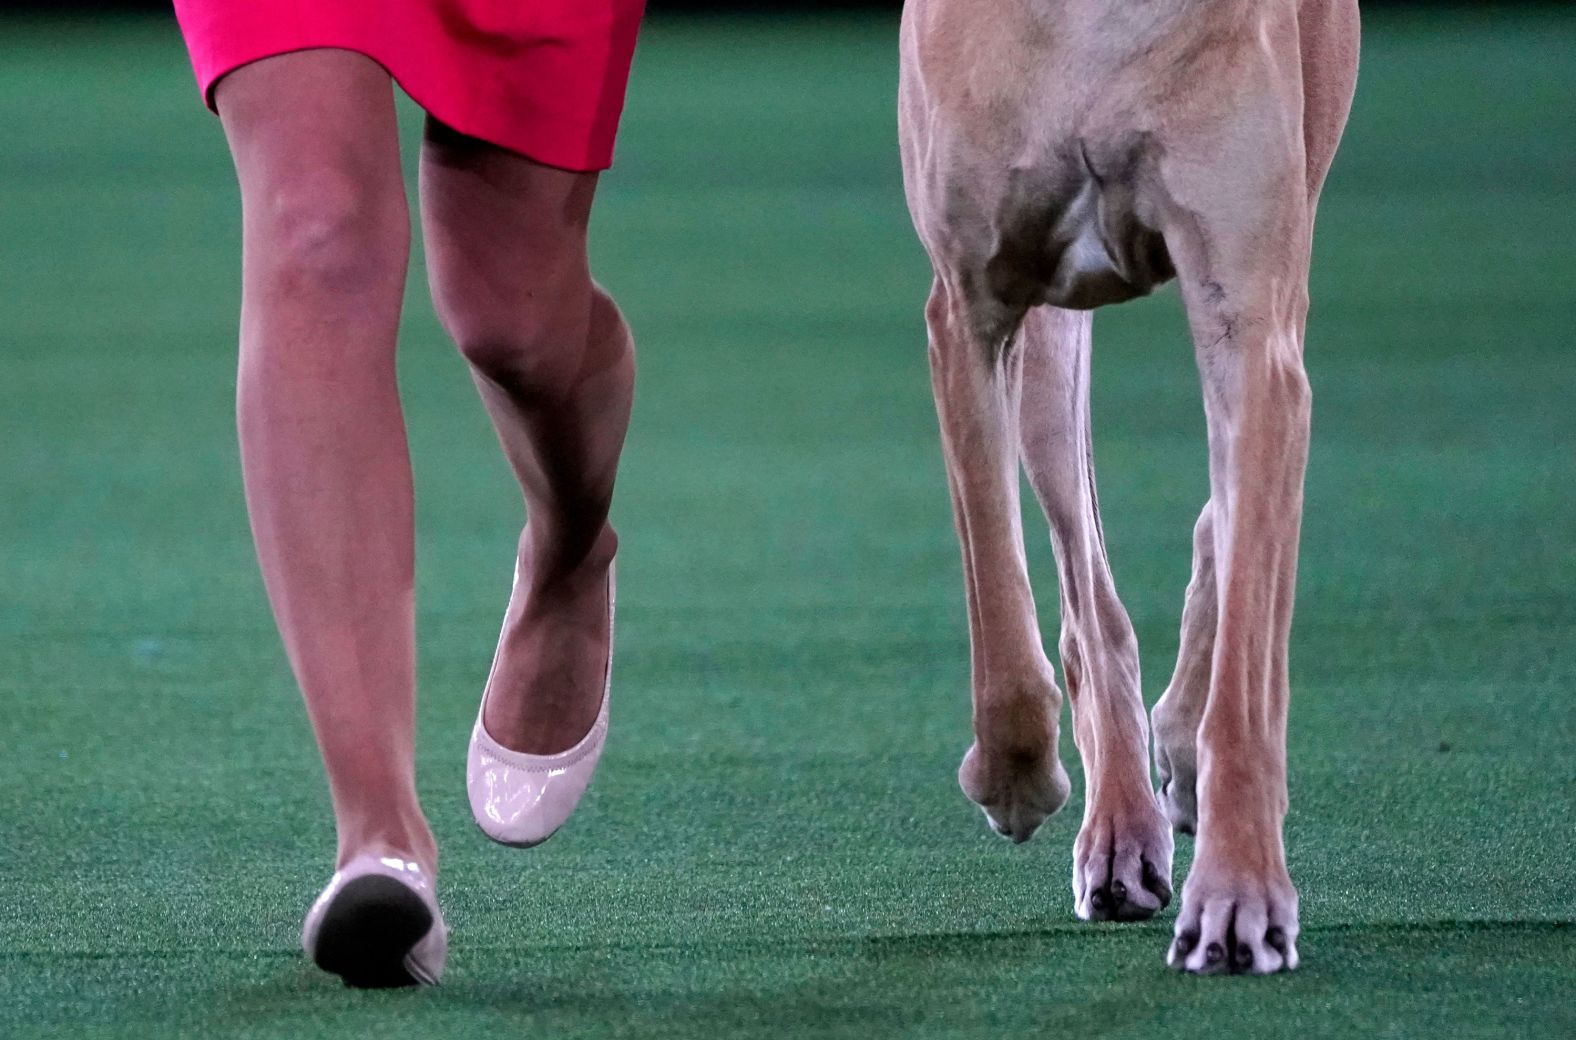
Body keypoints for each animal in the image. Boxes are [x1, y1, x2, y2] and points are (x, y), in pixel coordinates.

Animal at [907, 2, 1361, 976]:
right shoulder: (970, 307)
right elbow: (1000, 619)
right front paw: (1015, 783)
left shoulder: (1251, 318)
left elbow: (1247, 678)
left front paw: (1240, 898)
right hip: (1050, 347)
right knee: (1088, 601)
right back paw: (1117, 831)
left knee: (1222, 538)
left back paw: (1178, 757)